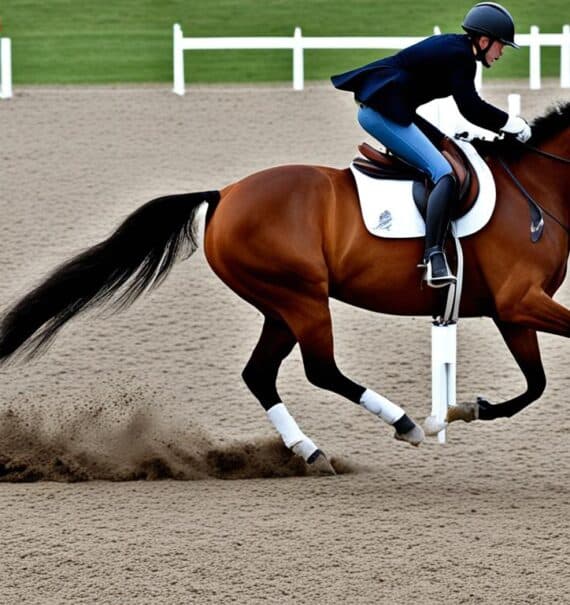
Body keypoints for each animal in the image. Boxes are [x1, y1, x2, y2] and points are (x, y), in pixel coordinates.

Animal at [0, 102, 564, 472]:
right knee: (320, 370)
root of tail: (224, 194)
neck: (538, 193)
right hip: (302, 298)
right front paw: (451, 413)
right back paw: (403, 423)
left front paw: (467, 408)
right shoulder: (521, 303)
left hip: (281, 306)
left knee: (260, 374)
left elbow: (536, 384)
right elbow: (540, 378)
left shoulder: (514, 311)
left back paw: (309, 451)